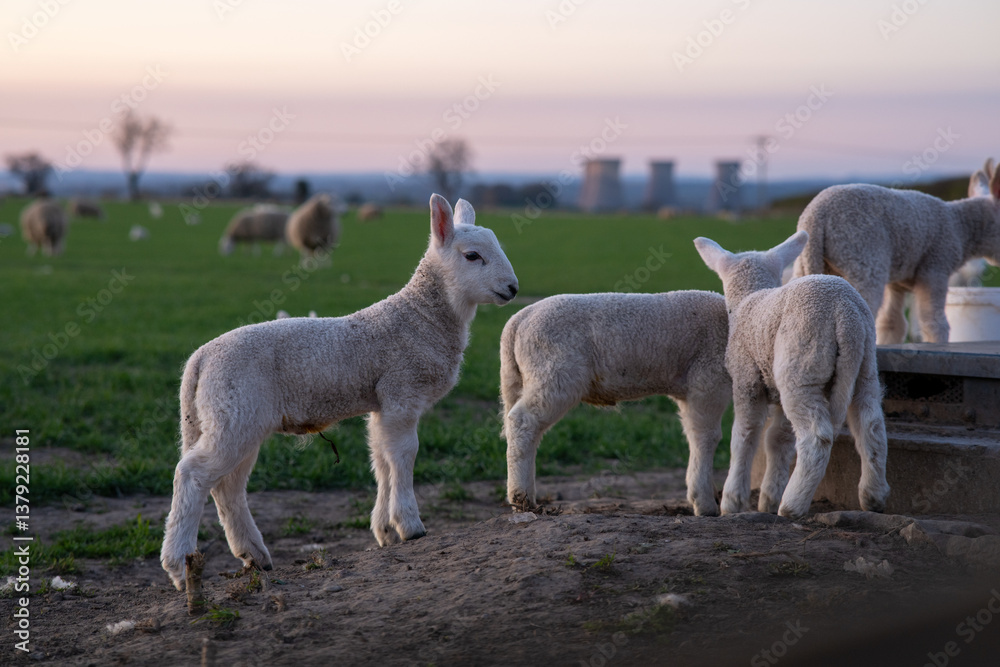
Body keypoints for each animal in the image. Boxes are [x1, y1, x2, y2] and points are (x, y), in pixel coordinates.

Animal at [160, 194, 518, 590]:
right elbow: (404, 454)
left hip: (232, 418)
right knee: (192, 475)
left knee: (228, 487)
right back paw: (179, 566)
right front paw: (410, 526)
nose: (513, 288)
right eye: (472, 256)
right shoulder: (402, 391)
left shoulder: (382, 402)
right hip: (234, 412)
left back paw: (255, 556)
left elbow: (381, 458)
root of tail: (199, 360)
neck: (419, 318)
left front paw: (384, 531)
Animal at [501, 290, 731, 516]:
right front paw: (706, 503)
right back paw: (523, 499)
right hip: (554, 374)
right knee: (523, 421)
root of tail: (518, 320)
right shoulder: (709, 378)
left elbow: (692, 434)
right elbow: (707, 437)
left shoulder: (689, 391)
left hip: (518, 378)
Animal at [695, 231, 889, 519]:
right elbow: (779, 439)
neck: (749, 299)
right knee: (871, 426)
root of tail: (845, 314)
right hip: (863, 368)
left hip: (801, 367)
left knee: (817, 437)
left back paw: (792, 506)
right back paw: (873, 497)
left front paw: (733, 502)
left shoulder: (746, 380)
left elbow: (745, 435)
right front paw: (767, 499)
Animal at [791, 160, 1000, 343]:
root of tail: (816, 215)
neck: (960, 226)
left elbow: (892, 323)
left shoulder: (898, 281)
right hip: (863, 258)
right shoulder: (936, 267)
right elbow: (934, 321)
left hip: (806, 262)